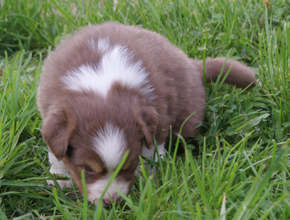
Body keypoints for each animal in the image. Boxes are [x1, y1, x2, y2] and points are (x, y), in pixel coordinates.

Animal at [37, 21, 258, 205]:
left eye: (129, 165)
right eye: (89, 169)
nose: (111, 202)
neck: (101, 85)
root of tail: (193, 66)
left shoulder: (158, 116)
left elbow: (151, 150)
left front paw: (148, 173)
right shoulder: (50, 112)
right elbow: (55, 153)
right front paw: (59, 179)